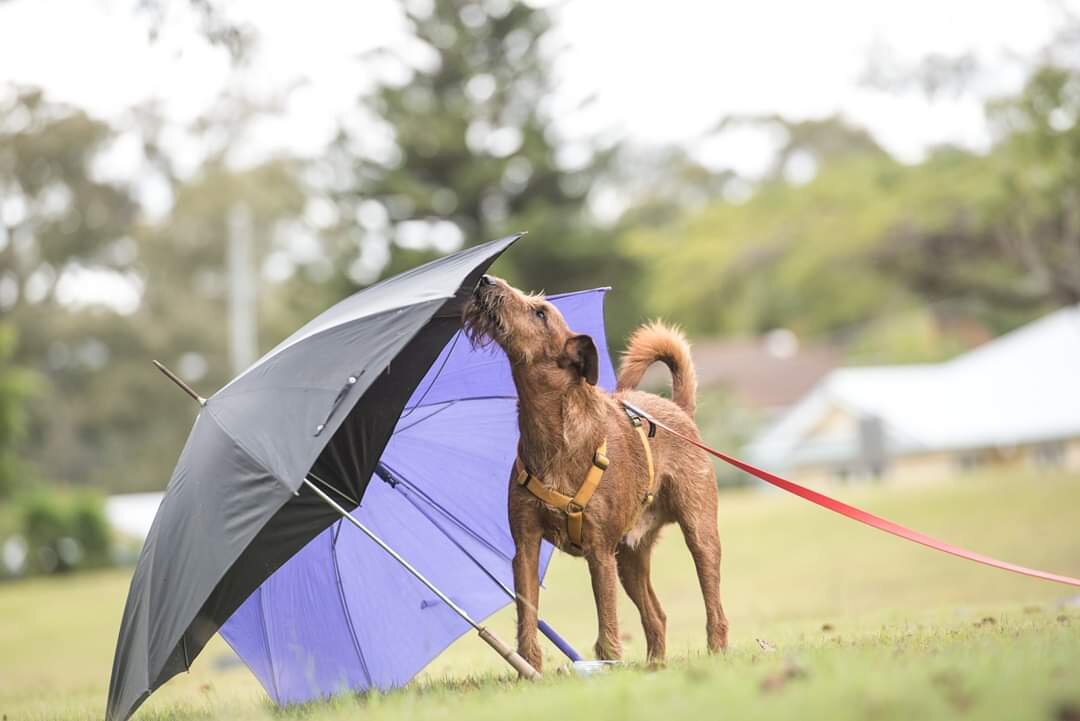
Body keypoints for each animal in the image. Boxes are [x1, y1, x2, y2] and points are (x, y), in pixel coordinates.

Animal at [460, 274, 730, 669]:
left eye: (540, 313)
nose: (485, 279)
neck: (553, 433)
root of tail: (680, 410)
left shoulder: (598, 551)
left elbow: (607, 623)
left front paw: (610, 666)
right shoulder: (525, 547)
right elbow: (528, 619)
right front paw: (530, 669)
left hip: (699, 533)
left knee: (714, 606)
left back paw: (716, 653)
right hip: (630, 558)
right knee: (656, 616)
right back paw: (655, 668)